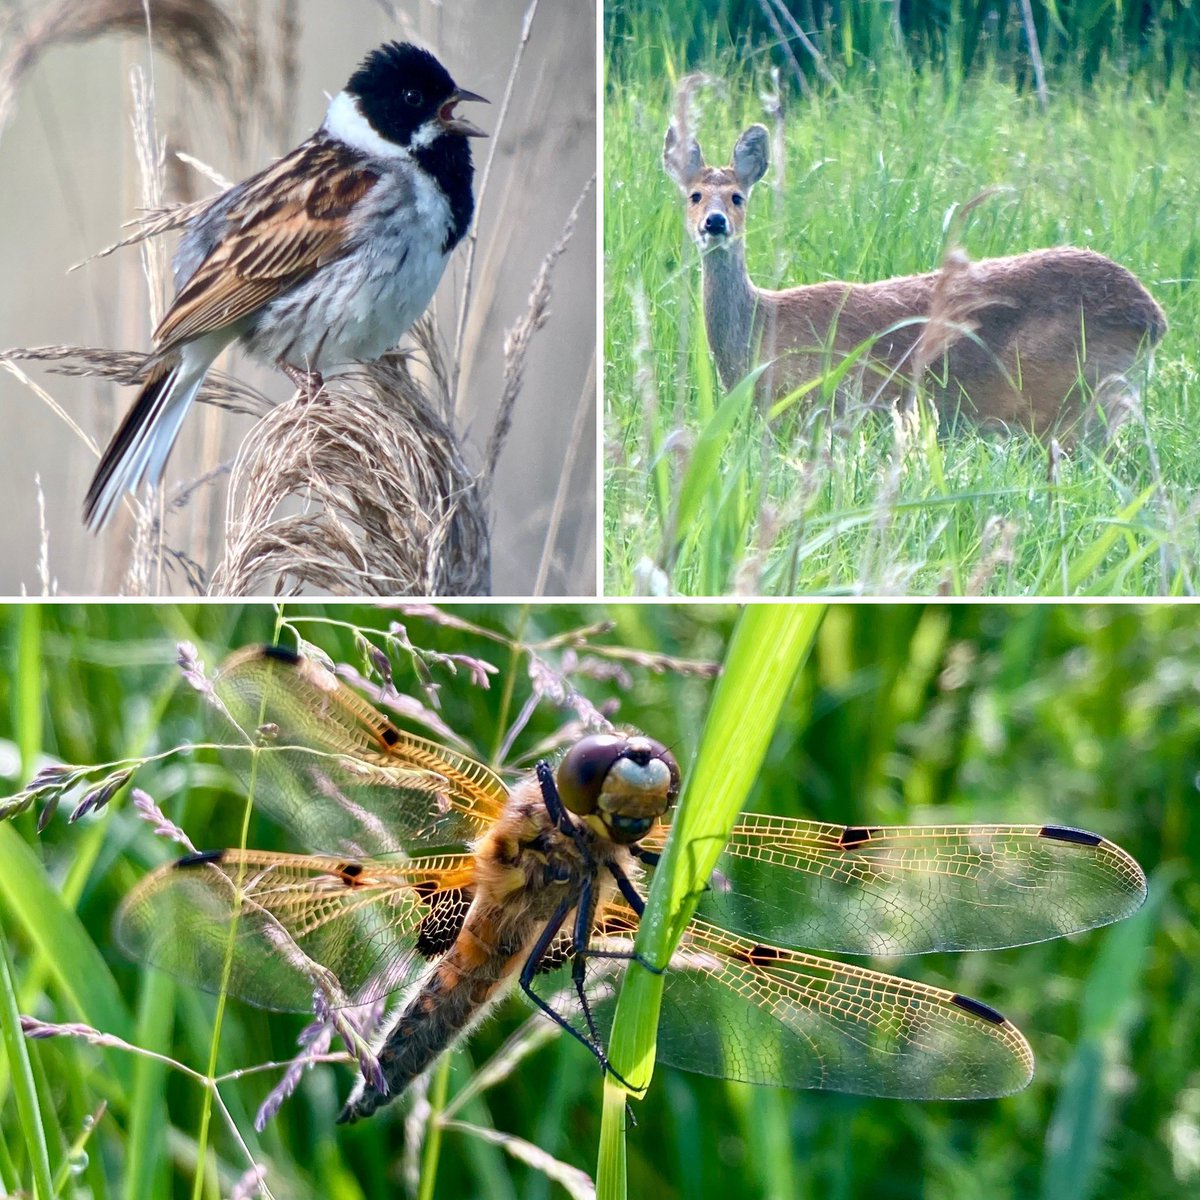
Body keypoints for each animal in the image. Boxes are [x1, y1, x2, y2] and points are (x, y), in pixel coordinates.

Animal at [663, 121, 1167, 441]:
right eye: (694, 195)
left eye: (737, 197)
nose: (714, 223)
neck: (760, 331)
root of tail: (1153, 318)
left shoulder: (822, 408)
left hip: (1070, 399)